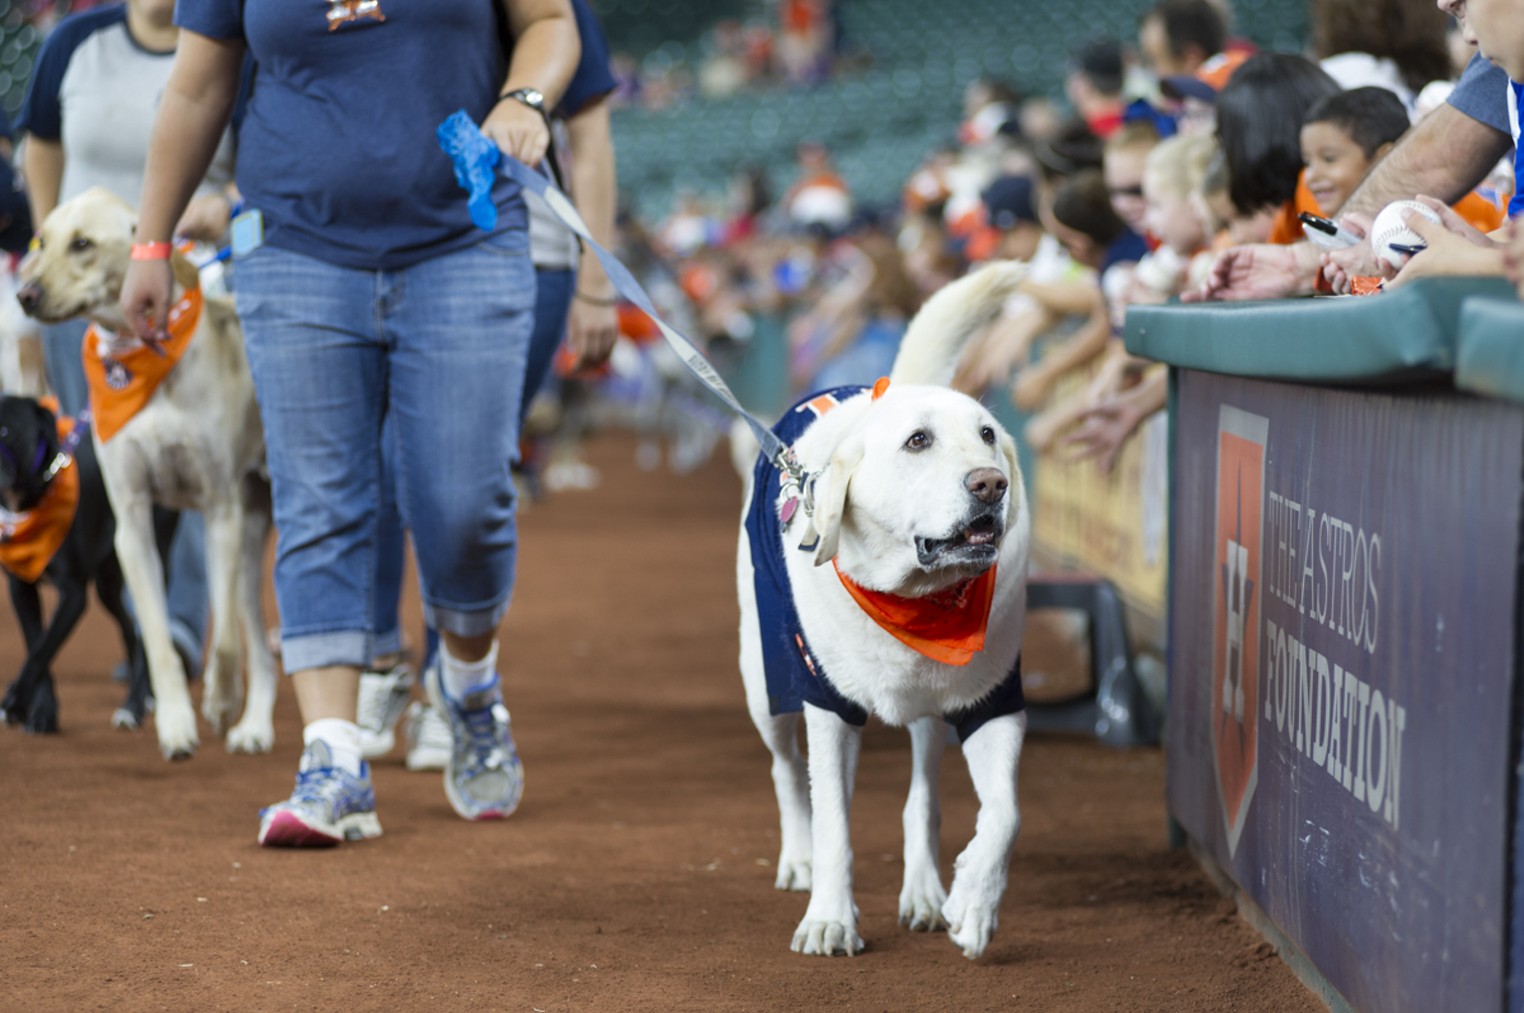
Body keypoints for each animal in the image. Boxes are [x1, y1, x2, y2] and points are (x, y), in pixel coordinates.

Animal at [0, 396, 147, 734]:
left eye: (5, 430)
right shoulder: (20, 588)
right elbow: (37, 644)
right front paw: (43, 712)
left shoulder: (73, 594)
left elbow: (43, 650)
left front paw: (17, 702)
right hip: (108, 583)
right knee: (130, 631)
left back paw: (133, 707)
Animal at [18, 187, 277, 758]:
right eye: (41, 240)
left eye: (83, 244)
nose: (24, 293)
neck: (141, 360)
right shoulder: (133, 523)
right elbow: (156, 640)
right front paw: (176, 723)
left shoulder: (221, 509)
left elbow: (224, 638)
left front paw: (218, 699)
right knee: (261, 639)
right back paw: (255, 725)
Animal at [734, 260, 1030, 956]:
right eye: (917, 441)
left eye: (987, 435)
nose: (992, 484)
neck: (915, 598)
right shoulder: (827, 705)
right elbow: (835, 825)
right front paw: (829, 918)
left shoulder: (994, 700)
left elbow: (1004, 813)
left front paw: (975, 901)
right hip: (764, 684)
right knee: (787, 773)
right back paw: (799, 859)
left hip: (929, 713)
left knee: (921, 794)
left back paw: (923, 890)